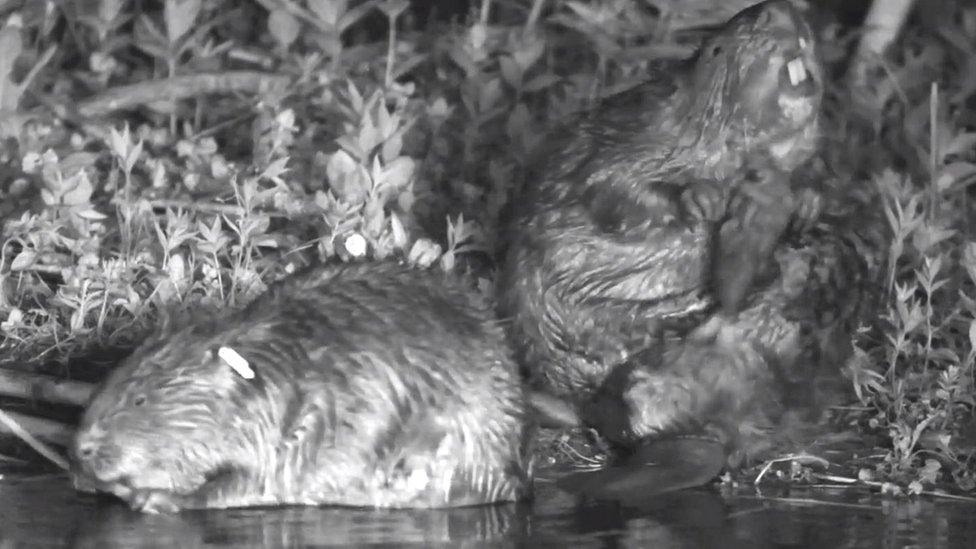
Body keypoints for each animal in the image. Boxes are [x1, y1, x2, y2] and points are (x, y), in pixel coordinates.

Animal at [71, 262, 528, 512]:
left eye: (139, 398)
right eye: (103, 385)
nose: (80, 449)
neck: (273, 365)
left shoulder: (292, 423)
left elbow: (253, 482)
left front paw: (155, 498)